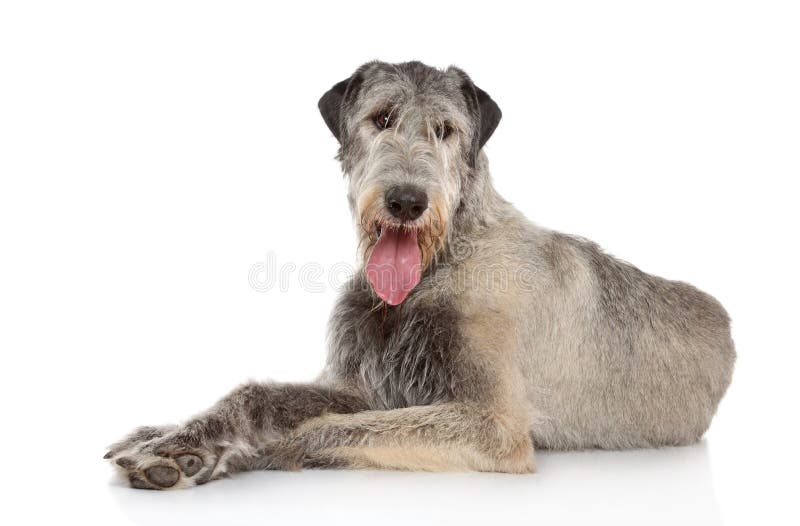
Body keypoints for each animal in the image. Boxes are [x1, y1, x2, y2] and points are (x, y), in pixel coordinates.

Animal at [106, 60, 736, 490]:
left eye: (445, 129)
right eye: (381, 118)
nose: (407, 200)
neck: (440, 263)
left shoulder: (492, 425)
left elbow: (319, 430)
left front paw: (224, 455)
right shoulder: (364, 387)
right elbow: (256, 394)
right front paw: (172, 435)